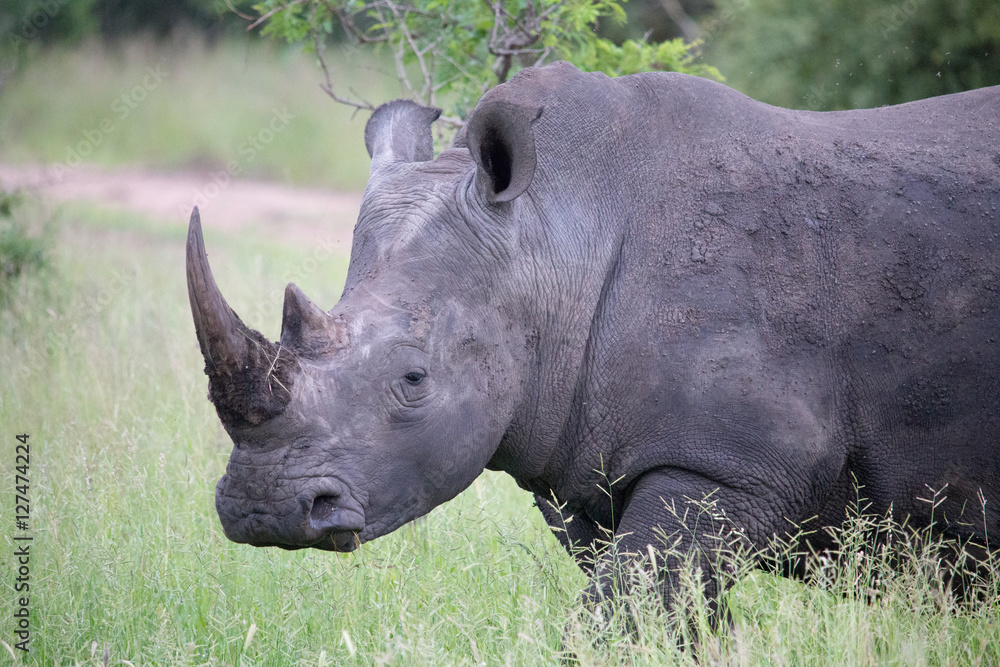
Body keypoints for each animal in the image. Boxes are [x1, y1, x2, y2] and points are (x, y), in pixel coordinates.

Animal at [188, 61, 999, 611]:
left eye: (414, 380)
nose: (263, 508)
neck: (558, 232)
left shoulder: (731, 463)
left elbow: (621, 614)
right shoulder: (584, 465)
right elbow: (661, 616)